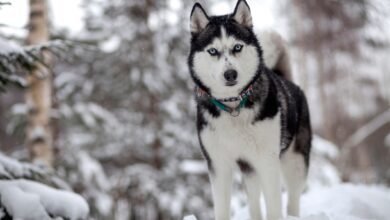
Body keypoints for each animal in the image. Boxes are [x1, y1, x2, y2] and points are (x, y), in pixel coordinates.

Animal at [187, 0, 312, 220]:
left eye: (237, 47)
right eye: (213, 51)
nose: (230, 74)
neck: (233, 107)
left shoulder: (268, 160)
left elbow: (274, 207)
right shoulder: (218, 165)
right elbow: (222, 209)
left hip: (294, 162)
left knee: (293, 199)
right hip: (249, 169)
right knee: (254, 200)